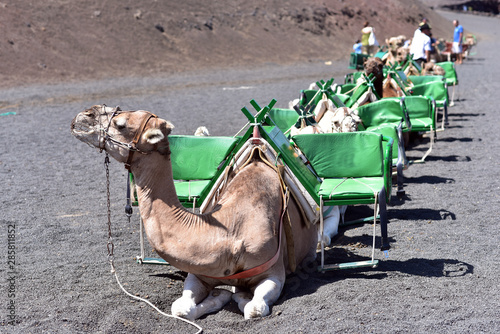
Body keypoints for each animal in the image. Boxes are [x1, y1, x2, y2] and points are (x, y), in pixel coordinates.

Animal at [70, 105, 316, 320]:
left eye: (120, 124)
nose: (84, 115)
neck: (230, 234)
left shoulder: (273, 272)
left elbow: (254, 309)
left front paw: (238, 295)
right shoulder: (199, 272)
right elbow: (180, 308)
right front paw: (221, 295)